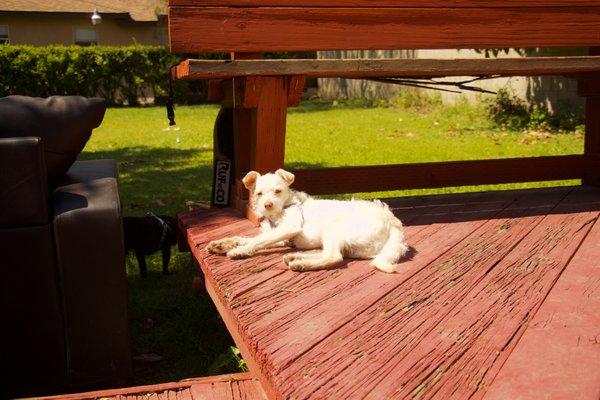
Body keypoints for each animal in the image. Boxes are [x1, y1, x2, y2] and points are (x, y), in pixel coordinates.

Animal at [205, 167, 408, 274]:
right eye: (259, 193)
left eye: (278, 191)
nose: (267, 205)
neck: (281, 211)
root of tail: (393, 222)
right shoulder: (279, 235)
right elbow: (247, 238)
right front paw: (221, 244)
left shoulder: (289, 228)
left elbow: (257, 241)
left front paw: (239, 251)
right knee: (329, 253)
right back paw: (296, 257)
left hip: (333, 229)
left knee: (334, 257)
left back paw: (300, 263)